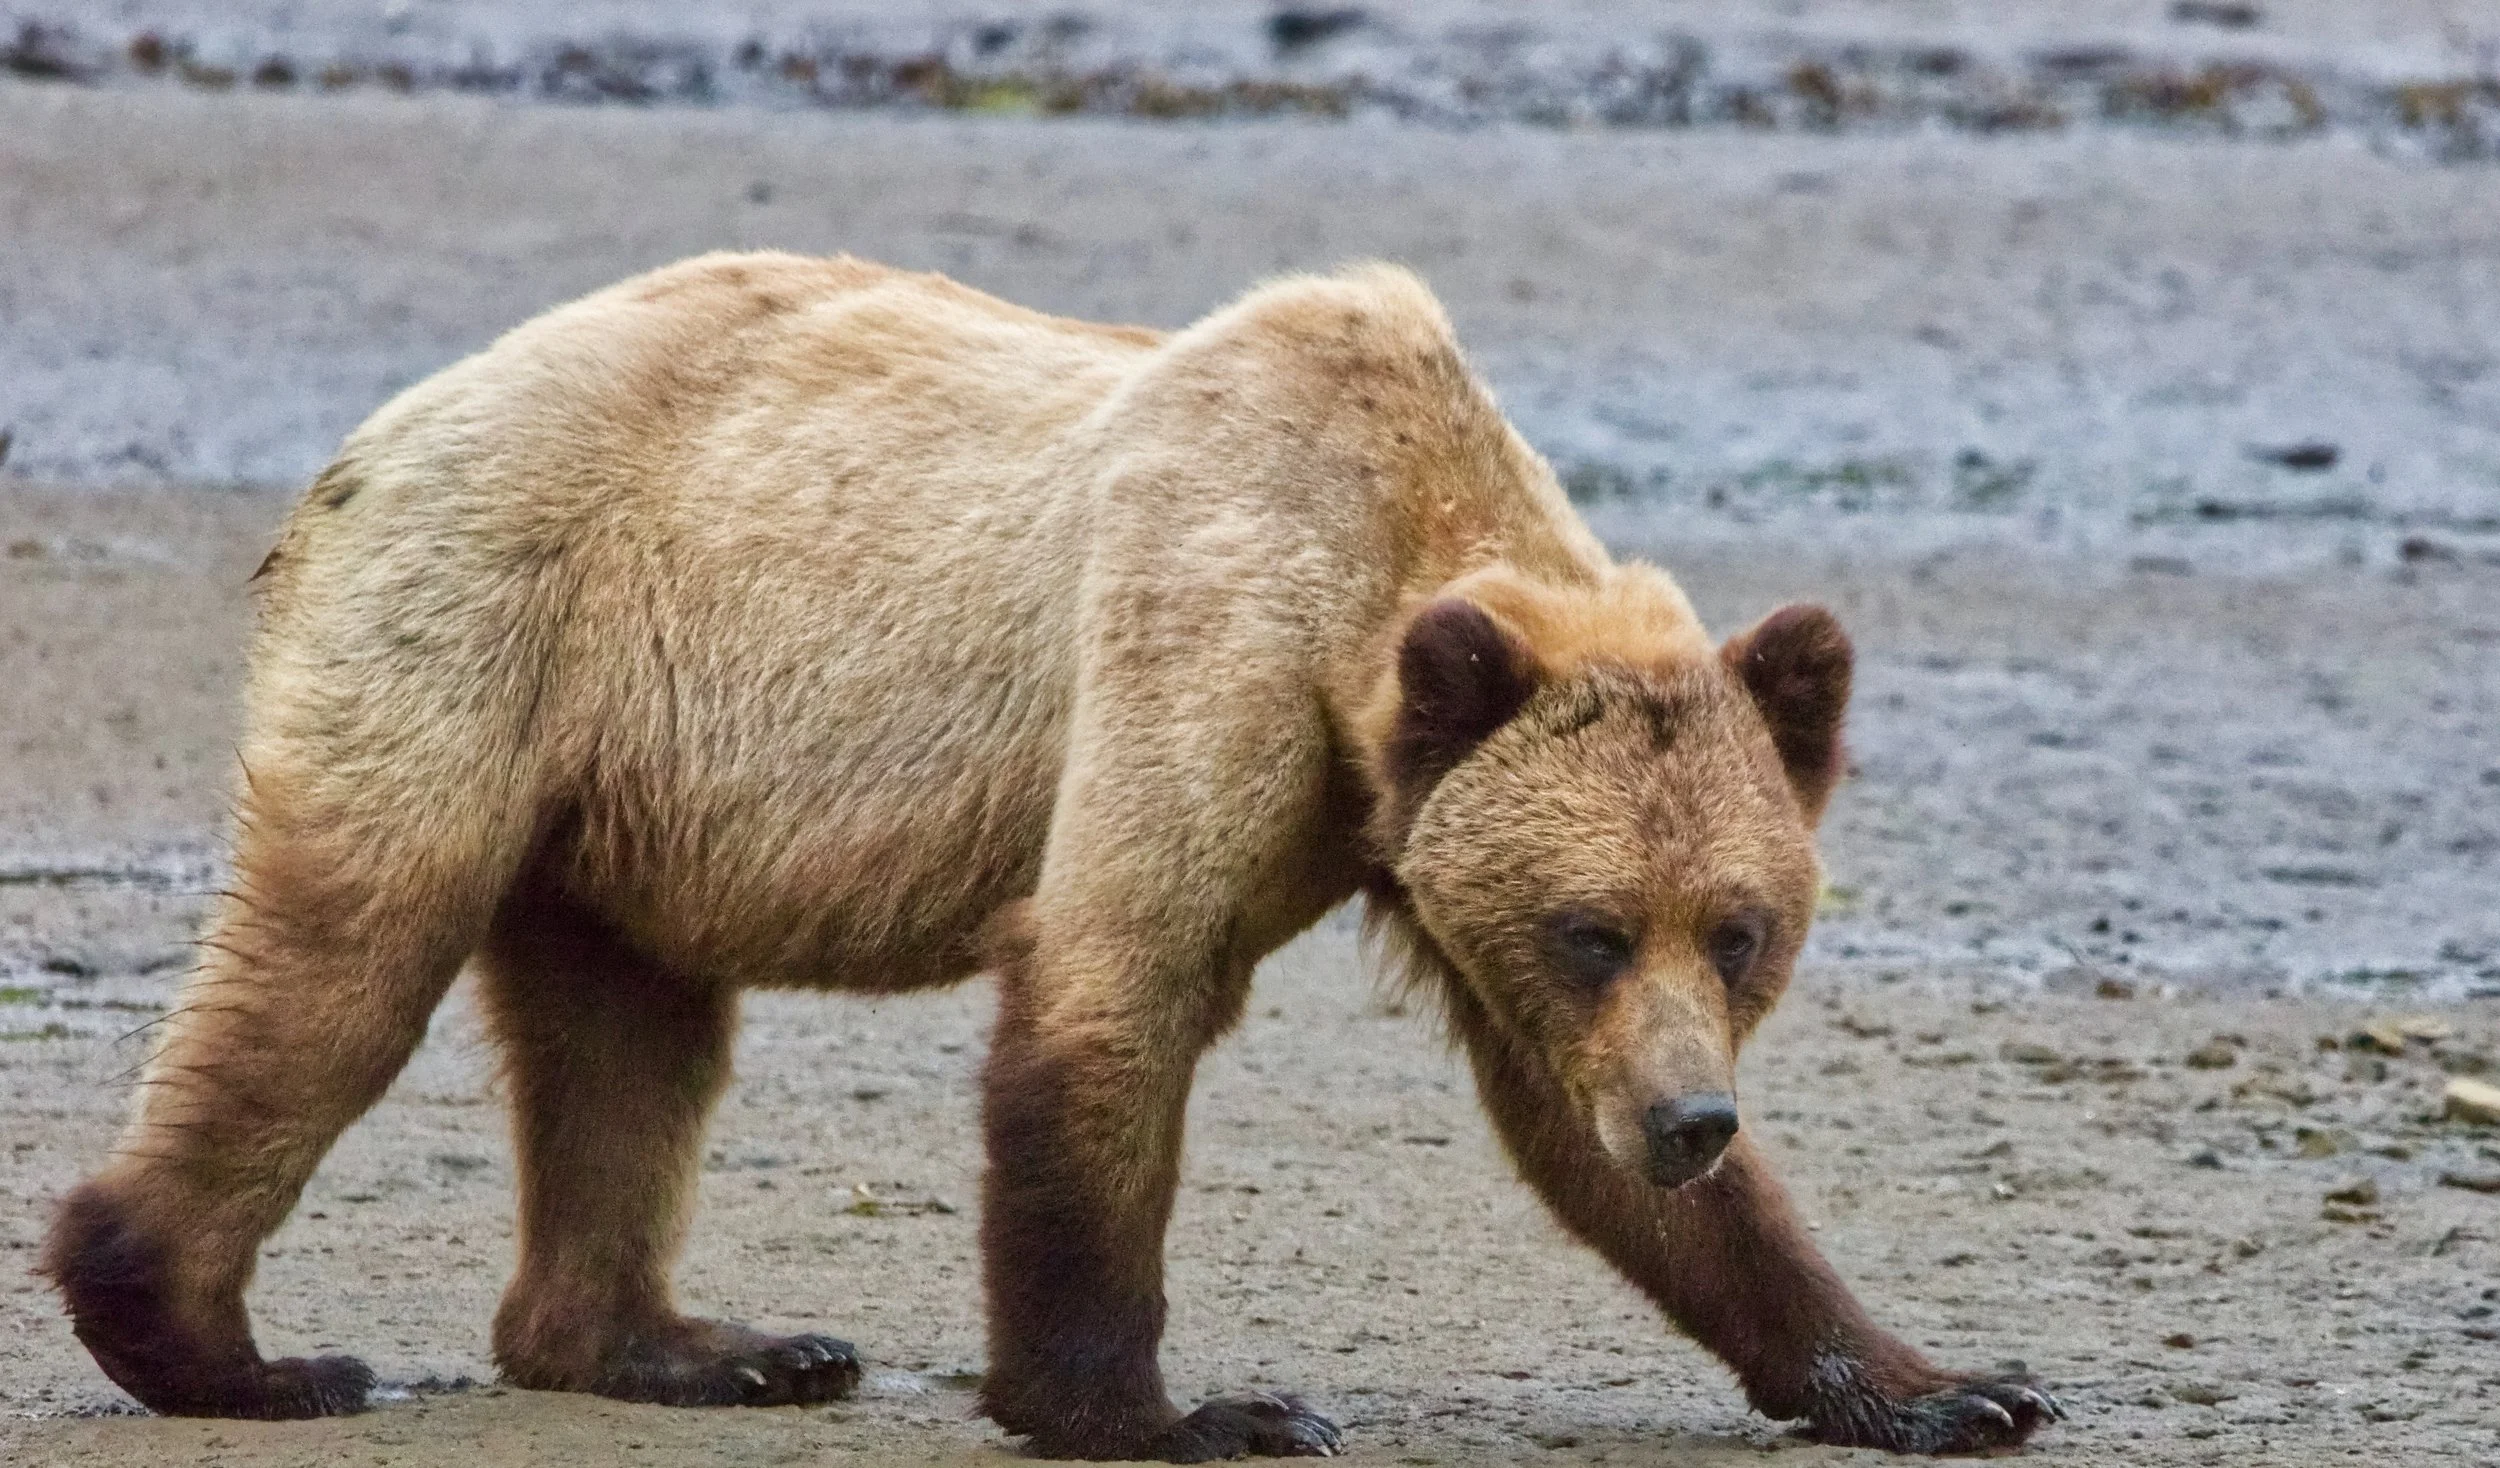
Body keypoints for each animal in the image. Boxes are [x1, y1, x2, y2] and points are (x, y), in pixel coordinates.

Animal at [44, 253, 2058, 1459]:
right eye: (1589, 924)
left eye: (1740, 927)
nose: (1696, 1115)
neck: (1380, 575)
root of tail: (383, 425)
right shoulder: (1203, 642)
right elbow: (1113, 990)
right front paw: (1189, 1407)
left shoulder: (1415, 814)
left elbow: (1580, 1141)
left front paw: (1943, 1380)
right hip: (482, 635)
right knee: (344, 960)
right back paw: (220, 1340)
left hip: (618, 795)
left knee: (633, 1041)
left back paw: (697, 1340)